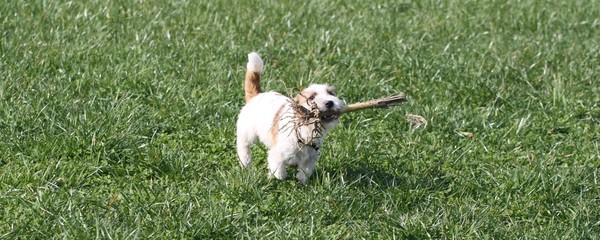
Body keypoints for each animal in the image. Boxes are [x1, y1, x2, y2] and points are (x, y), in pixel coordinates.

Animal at [237, 52, 344, 184]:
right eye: (311, 97)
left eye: (331, 93)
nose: (330, 102)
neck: (305, 129)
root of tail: (257, 95)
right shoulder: (277, 153)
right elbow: (279, 170)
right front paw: (279, 177)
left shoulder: (310, 157)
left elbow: (305, 171)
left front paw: (302, 181)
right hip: (246, 132)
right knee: (243, 146)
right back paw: (246, 163)